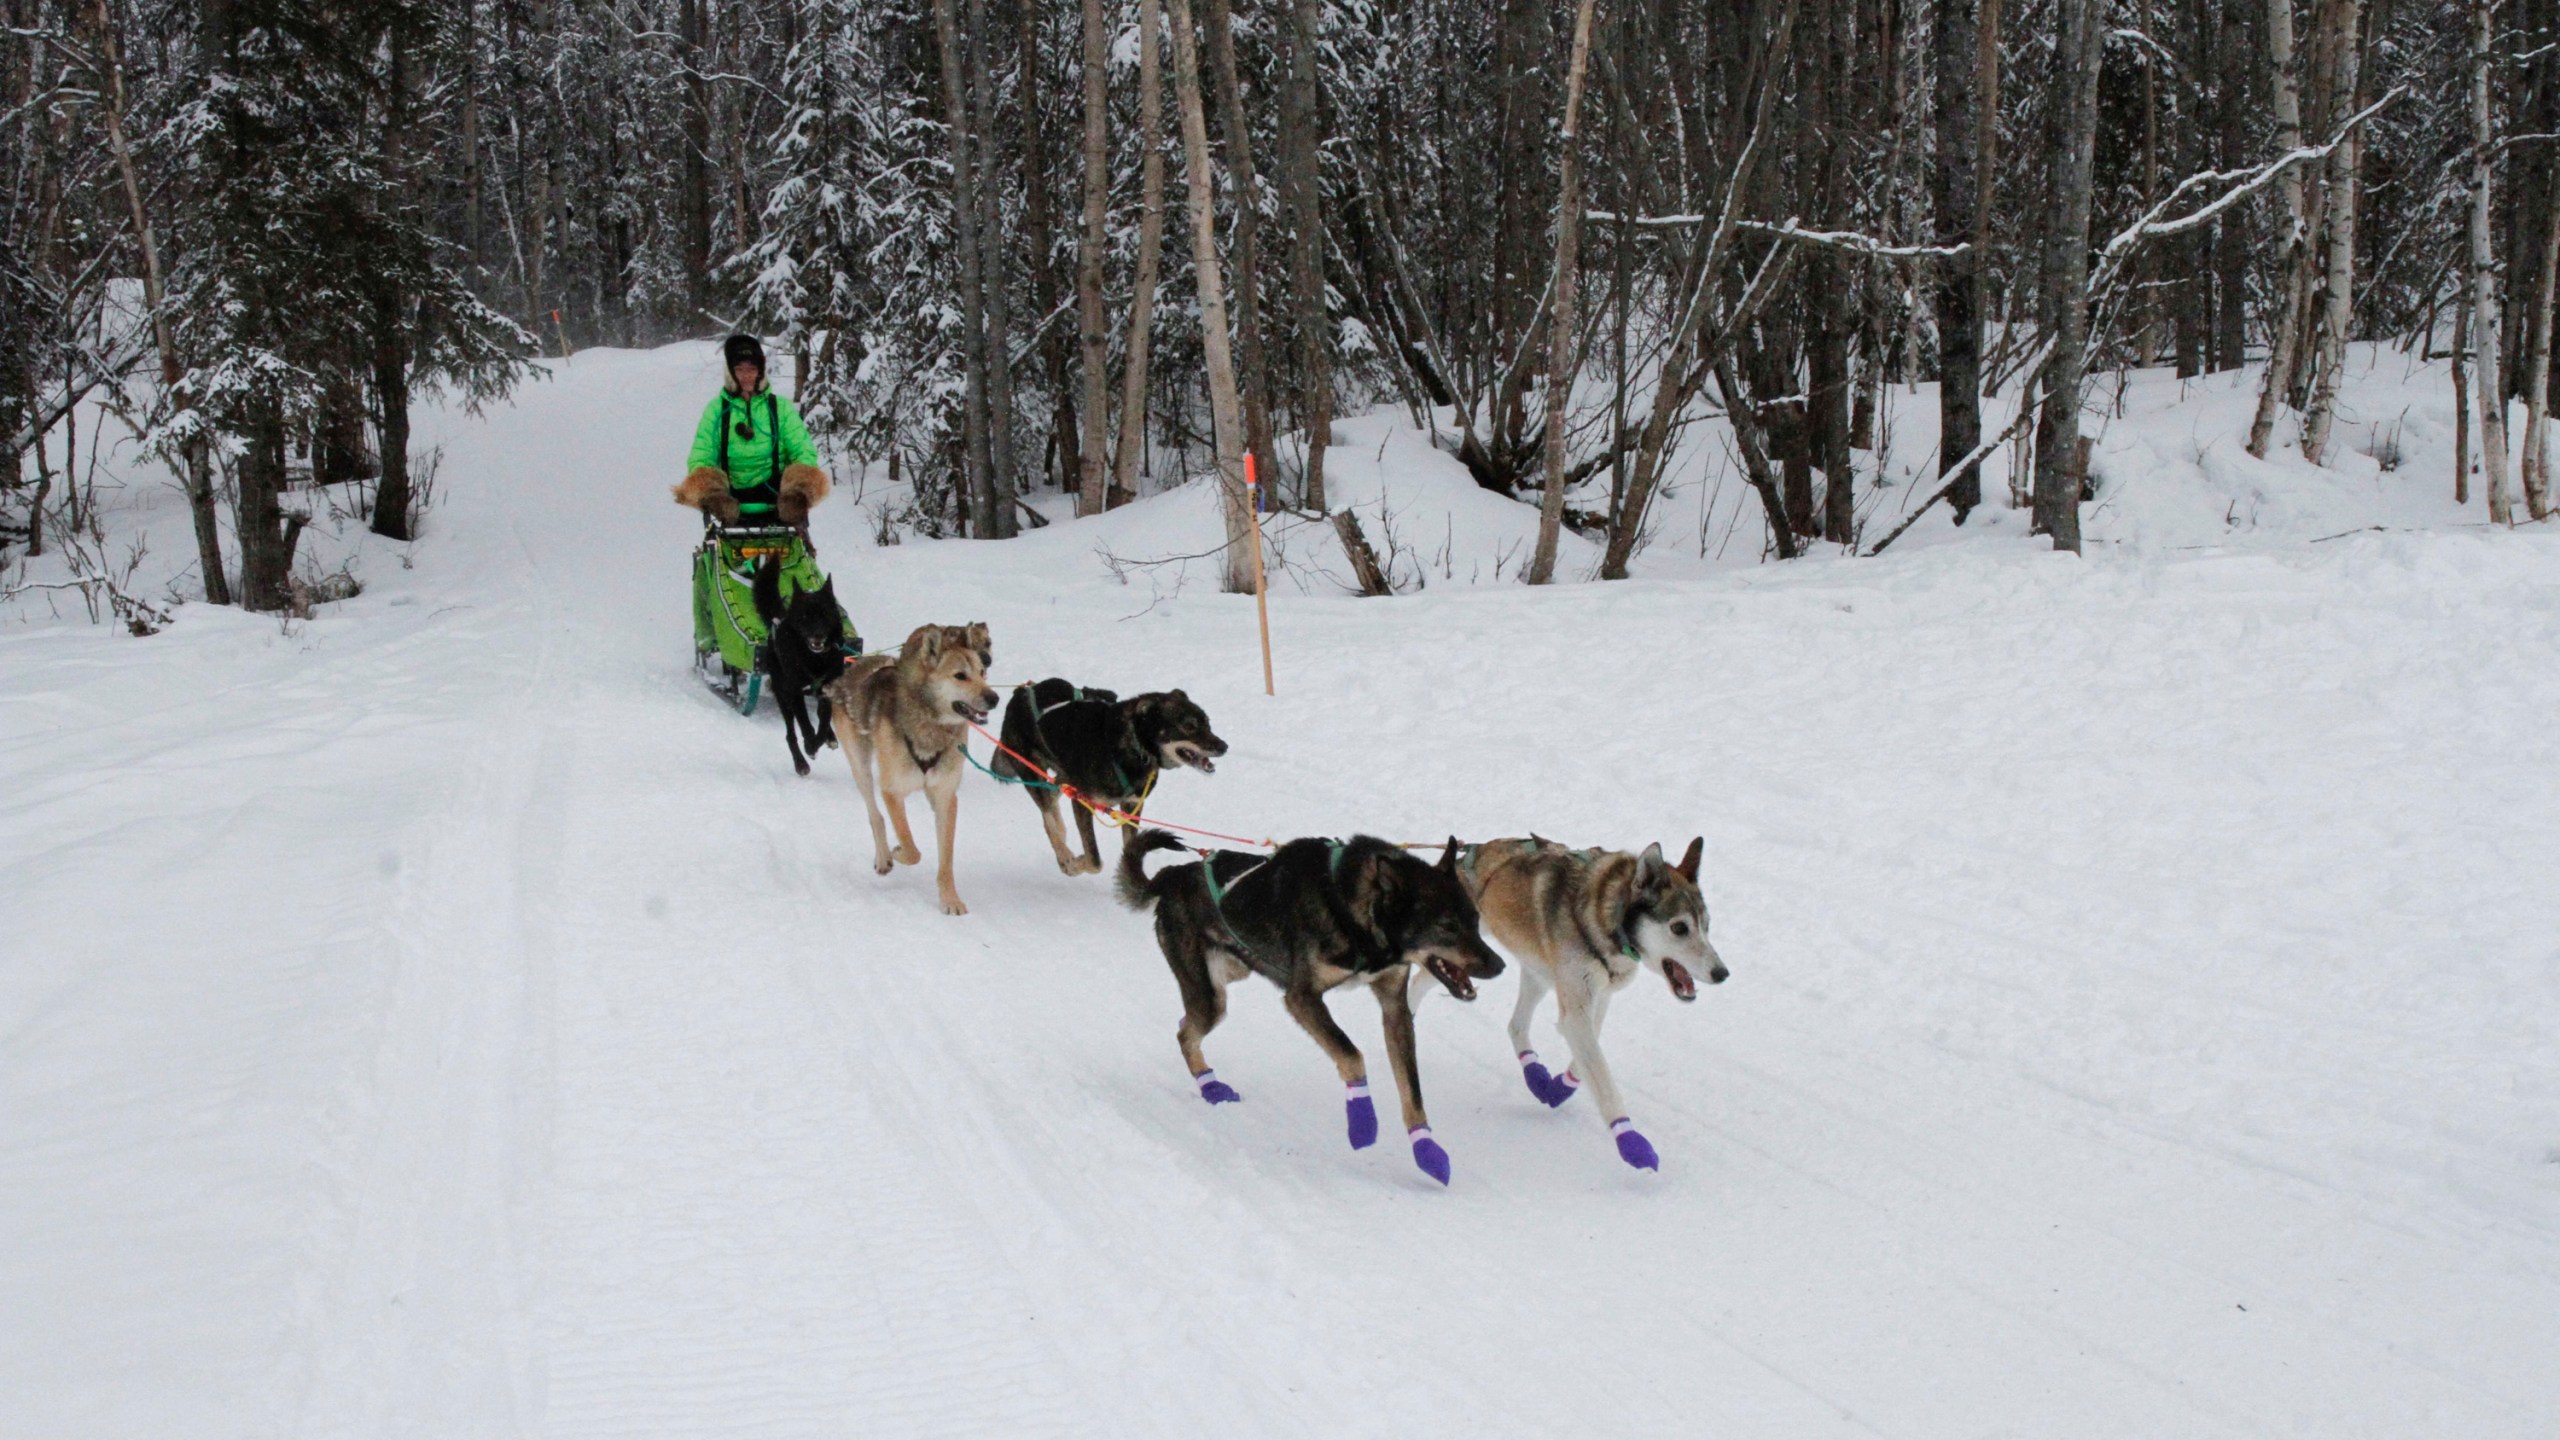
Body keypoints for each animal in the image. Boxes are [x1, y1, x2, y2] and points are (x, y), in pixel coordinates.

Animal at [747, 550, 849, 773]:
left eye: (825, 614)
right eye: (805, 616)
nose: (818, 635)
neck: (815, 659)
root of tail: (778, 617)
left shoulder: (828, 688)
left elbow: (824, 719)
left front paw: (821, 739)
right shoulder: (794, 692)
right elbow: (805, 724)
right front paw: (810, 745)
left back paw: (829, 737)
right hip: (782, 693)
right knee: (790, 733)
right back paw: (800, 762)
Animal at [834, 617, 1003, 907]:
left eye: (982, 672)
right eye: (960, 675)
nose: (994, 698)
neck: (931, 726)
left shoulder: (945, 797)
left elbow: (946, 858)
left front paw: (949, 899)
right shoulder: (892, 791)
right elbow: (911, 847)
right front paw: (898, 851)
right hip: (861, 768)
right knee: (875, 814)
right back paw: (884, 856)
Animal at [988, 676, 1228, 871]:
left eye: (1207, 723)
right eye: (1188, 726)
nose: (1224, 746)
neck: (1135, 748)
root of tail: (1019, 693)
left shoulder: (1132, 806)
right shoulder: (1082, 802)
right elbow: (1094, 859)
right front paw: (1075, 865)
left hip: (1063, 776)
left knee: (1053, 801)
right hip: (1031, 771)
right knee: (1048, 817)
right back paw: (1064, 856)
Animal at [1116, 825, 1505, 1183]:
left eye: (1474, 920)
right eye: (1447, 926)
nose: (1499, 965)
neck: (1357, 913)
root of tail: (1172, 876)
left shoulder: (1395, 1007)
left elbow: (1412, 1089)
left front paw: (1426, 1150)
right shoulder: (1301, 998)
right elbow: (1351, 1055)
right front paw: (1362, 1123)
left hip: (1233, 972)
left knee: (1185, 1024)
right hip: (1210, 995)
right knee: (1185, 1034)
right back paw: (1210, 1087)